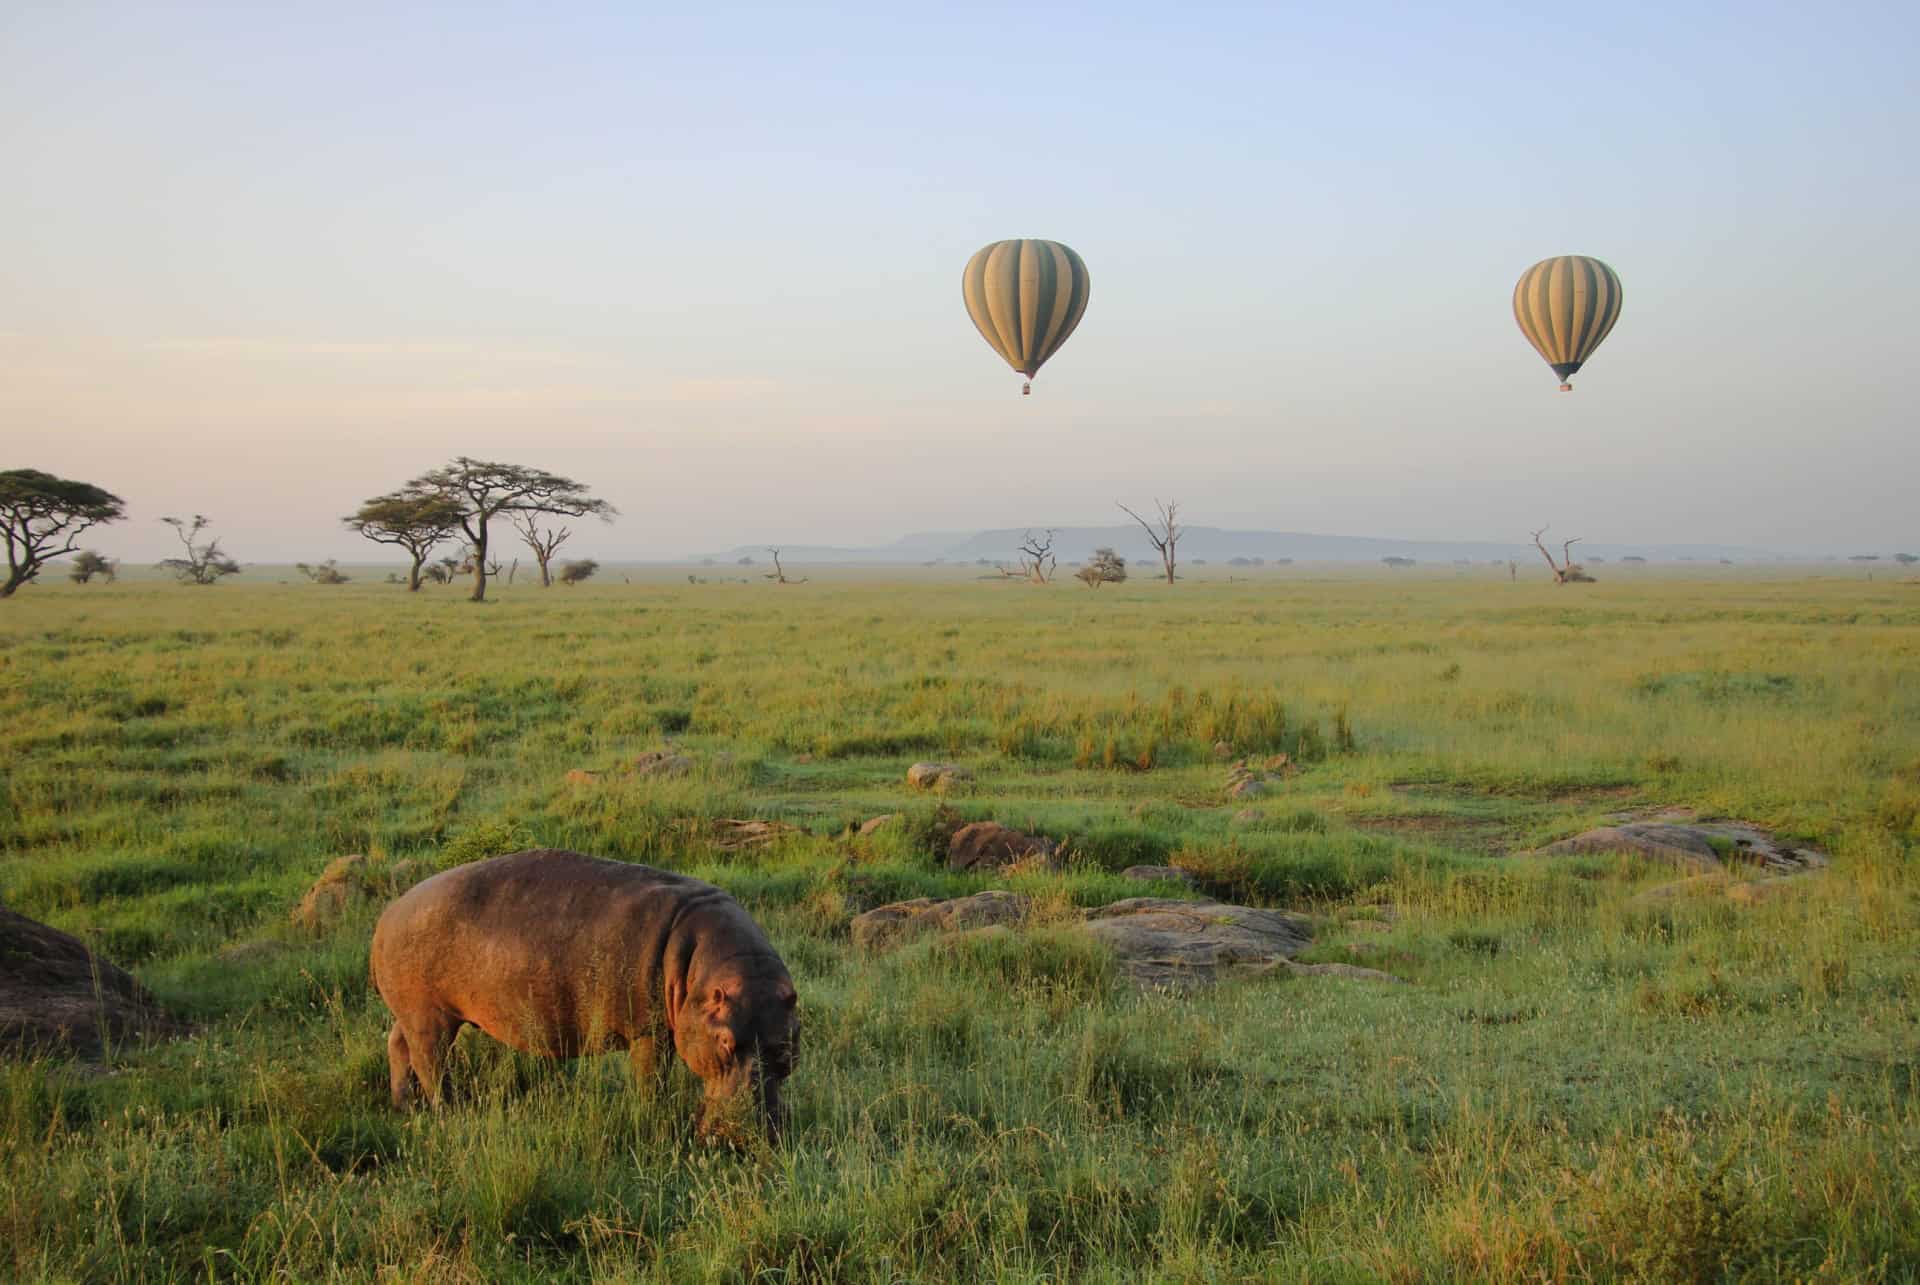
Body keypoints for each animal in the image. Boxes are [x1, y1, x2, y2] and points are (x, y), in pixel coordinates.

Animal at [370, 845, 798, 1137]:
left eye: (785, 1044)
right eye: (725, 1042)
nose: (747, 1132)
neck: (707, 970)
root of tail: (386, 916)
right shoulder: (648, 1030)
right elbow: (650, 1080)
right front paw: (651, 1114)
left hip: (413, 1013)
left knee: (398, 1045)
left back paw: (403, 1106)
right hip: (430, 1016)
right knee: (430, 1062)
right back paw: (449, 1111)